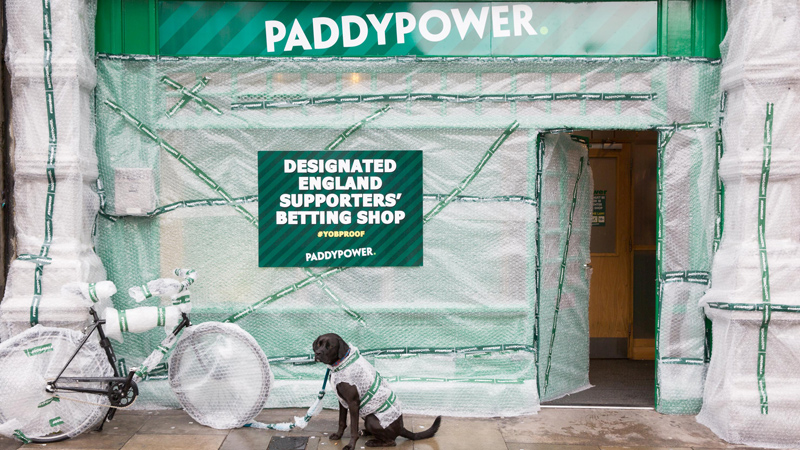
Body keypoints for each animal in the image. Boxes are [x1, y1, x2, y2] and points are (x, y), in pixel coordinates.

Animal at [313, 333, 441, 449]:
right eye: (318, 344)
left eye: (329, 346)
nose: (317, 353)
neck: (341, 363)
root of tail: (401, 428)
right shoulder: (342, 400)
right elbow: (341, 421)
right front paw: (338, 436)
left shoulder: (353, 403)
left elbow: (353, 428)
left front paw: (350, 446)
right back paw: (365, 432)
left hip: (371, 419)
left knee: (391, 441)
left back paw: (373, 442)